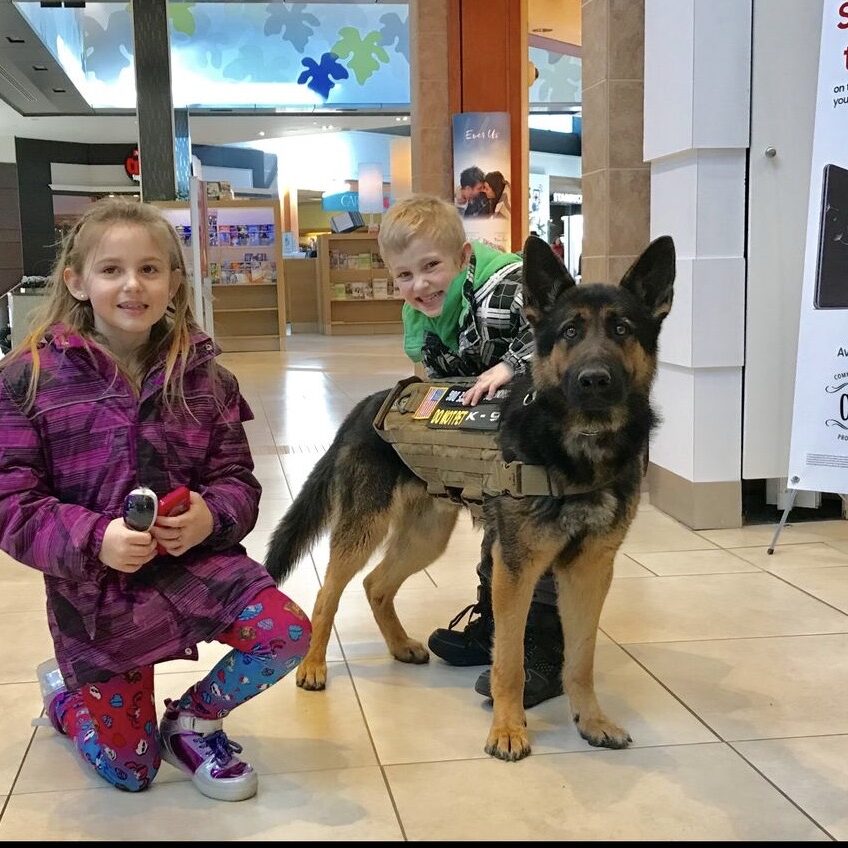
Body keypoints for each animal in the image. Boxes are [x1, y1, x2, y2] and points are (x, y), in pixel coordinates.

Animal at [266, 237, 676, 760]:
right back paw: (313, 666)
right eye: (569, 331)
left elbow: (581, 658)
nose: (594, 379)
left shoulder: (589, 572)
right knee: (327, 594)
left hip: (427, 538)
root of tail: (365, 406)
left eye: (622, 329)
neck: (580, 444)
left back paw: (399, 645)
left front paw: (591, 720)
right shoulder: (516, 569)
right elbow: (509, 661)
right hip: (365, 531)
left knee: (376, 584)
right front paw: (508, 729)